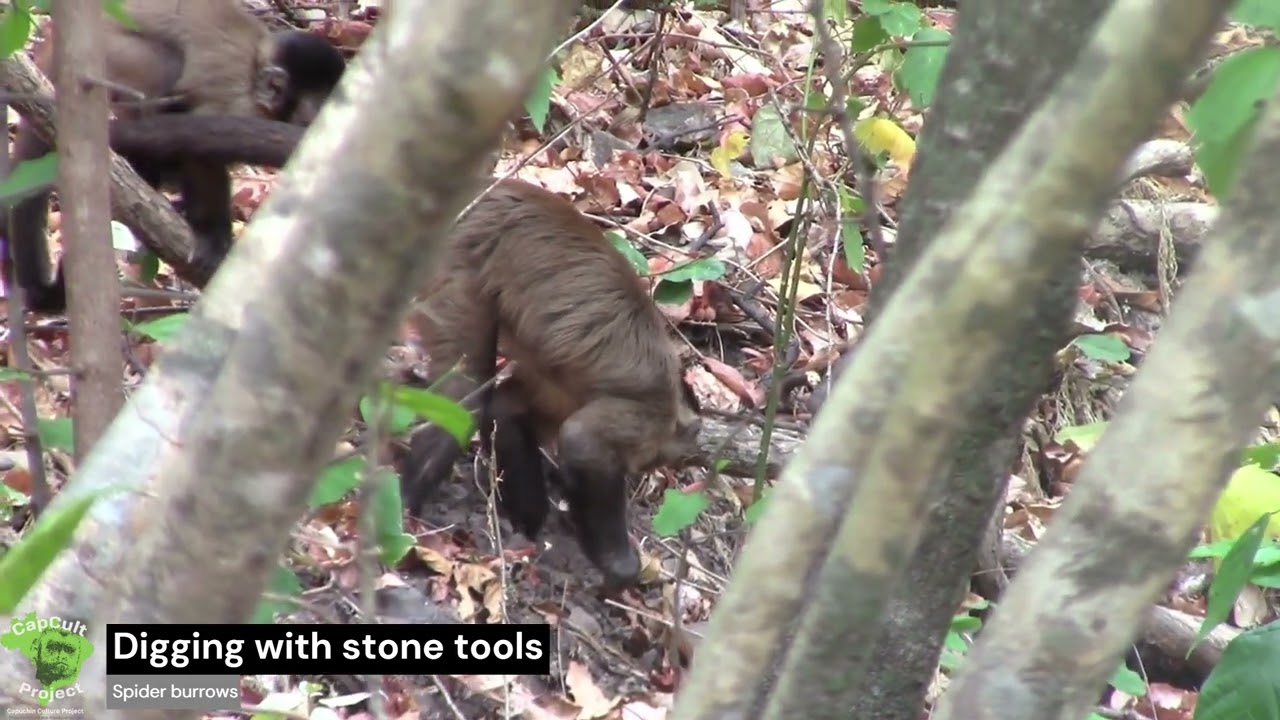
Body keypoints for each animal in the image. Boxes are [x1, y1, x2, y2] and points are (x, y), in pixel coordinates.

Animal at [7, 0, 346, 314]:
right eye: (319, 109)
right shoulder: (240, 106)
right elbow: (198, 147)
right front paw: (212, 234)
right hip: (108, 56)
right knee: (168, 75)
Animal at [398, 179, 704, 588]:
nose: (648, 468)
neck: (671, 405)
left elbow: (509, 411)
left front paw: (529, 516)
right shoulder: (647, 411)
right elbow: (582, 441)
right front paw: (618, 563)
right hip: (460, 262)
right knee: (464, 393)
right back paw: (404, 508)